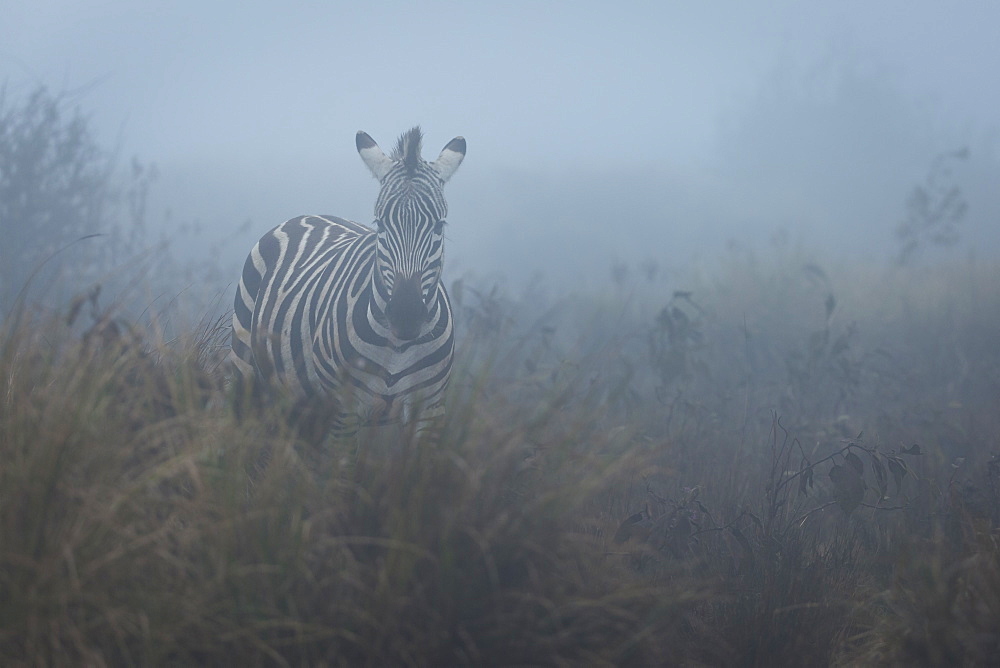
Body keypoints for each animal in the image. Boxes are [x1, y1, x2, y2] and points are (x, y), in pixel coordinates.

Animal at [231, 127, 468, 436]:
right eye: (380, 224)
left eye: (439, 225)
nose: (405, 315)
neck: (398, 348)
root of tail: (310, 214)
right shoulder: (346, 410)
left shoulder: (429, 409)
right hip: (245, 368)